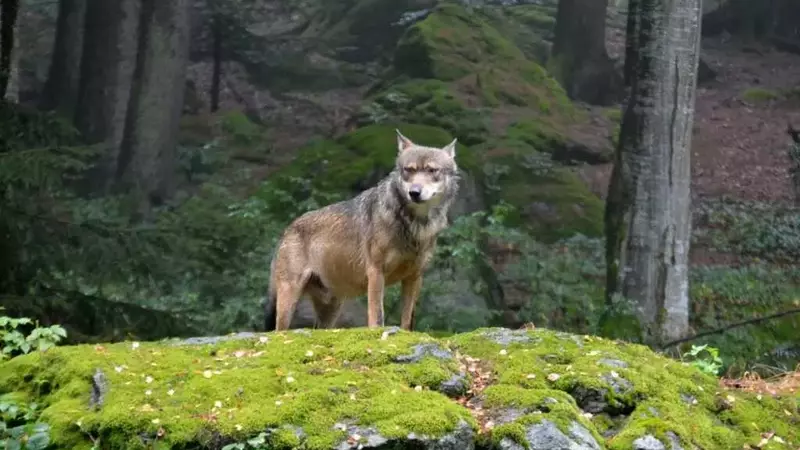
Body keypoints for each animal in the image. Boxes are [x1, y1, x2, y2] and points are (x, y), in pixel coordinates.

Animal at [264, 129, 460, 331]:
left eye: (432, 170)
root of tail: (288, 229)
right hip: (289, 299)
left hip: (330, 310)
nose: (414, 192)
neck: (414, 224)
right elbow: (377, 315)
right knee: (278, 331)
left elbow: (407, 320)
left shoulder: (414, 276)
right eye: (409, 170)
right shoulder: (375, 271)